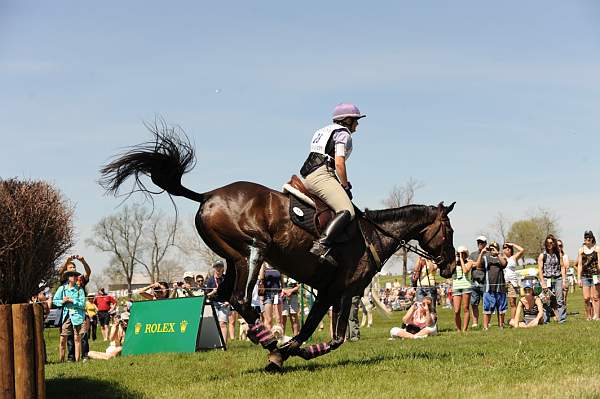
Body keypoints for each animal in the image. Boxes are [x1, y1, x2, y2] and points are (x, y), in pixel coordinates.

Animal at [99, 126, 454, 372]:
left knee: (222, 295)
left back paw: (263, 336)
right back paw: (267, 337)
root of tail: (207, 196)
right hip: (254, 250)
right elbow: (325, 335)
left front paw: (284, 352)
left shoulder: (332, 293)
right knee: (240, 299)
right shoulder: (338, 291)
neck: (372, 235)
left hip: (231, 259)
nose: (450, 267)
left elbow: (326, 334)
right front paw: (283, 352)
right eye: (449, 231)